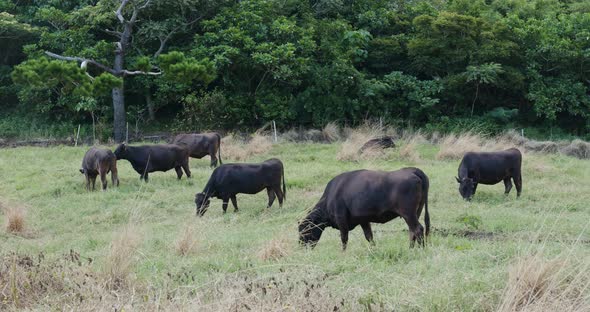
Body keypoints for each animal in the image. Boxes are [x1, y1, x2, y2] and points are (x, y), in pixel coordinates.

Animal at [300, 167, 430, 250]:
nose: (301, 245)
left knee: (418, 229)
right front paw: (374, 250)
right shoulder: (364, 220)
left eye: (304, 230)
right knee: (412, 231)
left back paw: (420, 249)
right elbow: (369, 237)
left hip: (408, 214)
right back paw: (410, 249)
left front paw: (343, 253)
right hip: (415, 213)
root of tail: (412, 170)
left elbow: (344, 238)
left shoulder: (341, 220)